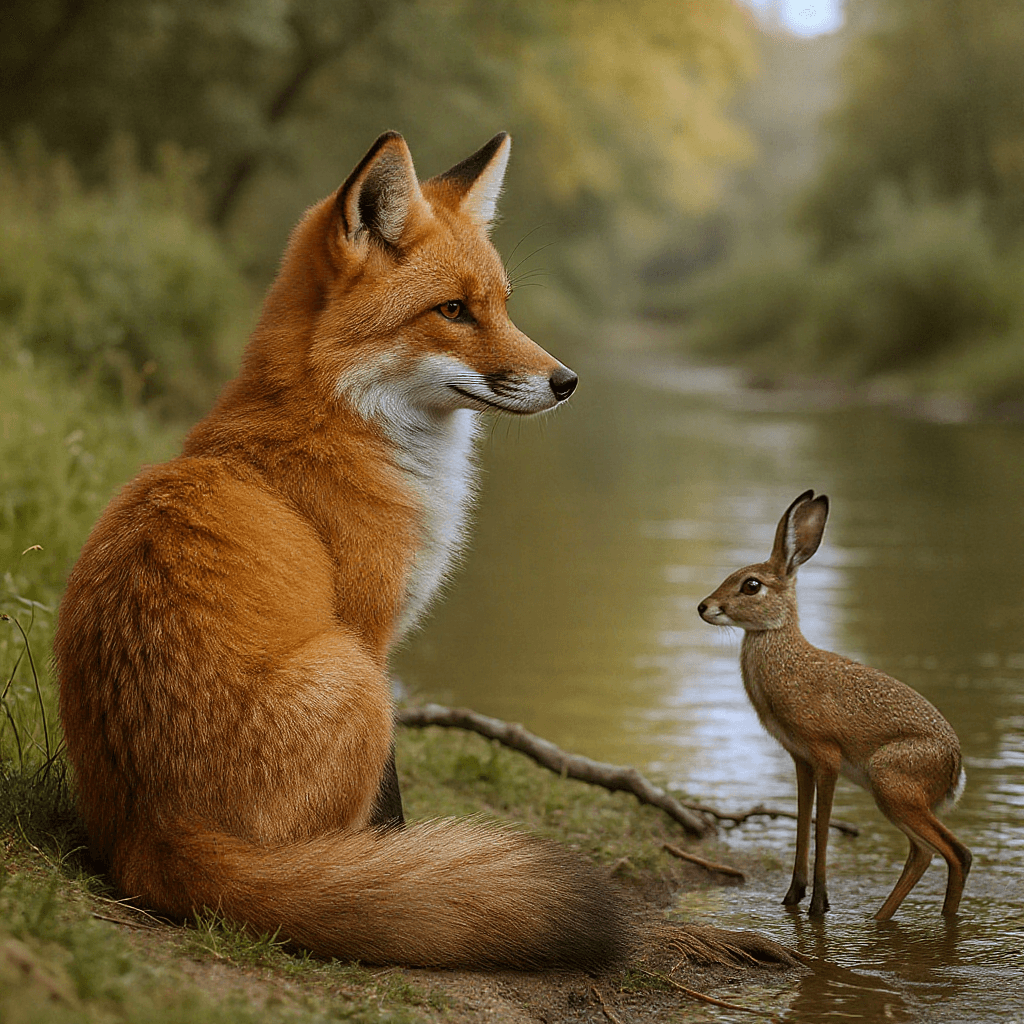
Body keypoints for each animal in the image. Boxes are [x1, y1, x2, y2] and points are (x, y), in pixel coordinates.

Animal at [54, 131, 628, 969]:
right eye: (452, 311)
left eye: (502, 304)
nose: (567, 381)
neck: (346, 420)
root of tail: (154, 835)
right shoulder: (373, 630)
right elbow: (391, 804)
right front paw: (389, 863)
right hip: (355, 679)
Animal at [698, 490, 971, 920]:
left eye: (751, 585)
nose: (705, 607)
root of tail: (954, 769)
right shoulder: (801, 760)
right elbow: (802, 823)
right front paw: (792, 898)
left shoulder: (826, 758)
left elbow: (822, 826)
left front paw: (818, 905)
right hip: (894, 798)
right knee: (925, 853)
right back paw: (881, 920)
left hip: (890, 784)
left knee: (954, 854)